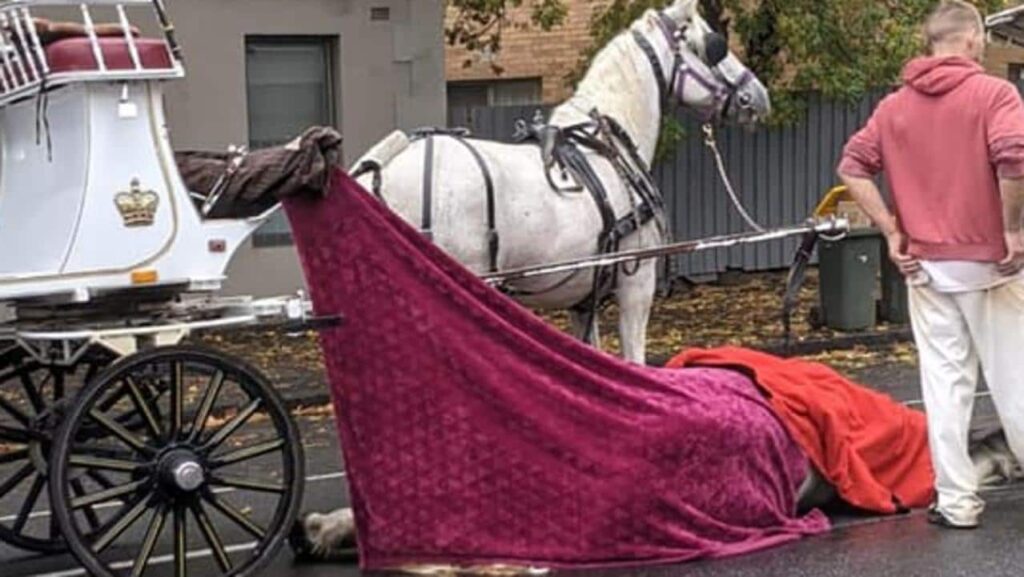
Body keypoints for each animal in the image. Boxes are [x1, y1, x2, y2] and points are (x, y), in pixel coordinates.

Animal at [352, 0, 770, 360]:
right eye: (711, 45)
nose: (758, 95)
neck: (605, 144)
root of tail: (379, 174)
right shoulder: (636, 285)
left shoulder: (582, 299)